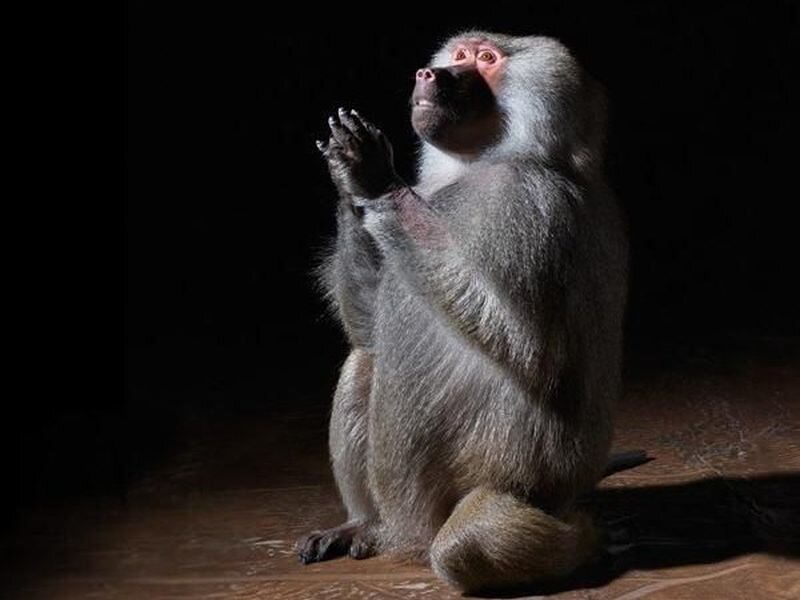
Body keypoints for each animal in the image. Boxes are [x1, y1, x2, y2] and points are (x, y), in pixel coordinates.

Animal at [299, 31, 629, 593]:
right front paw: (348, 183)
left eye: (486, 60)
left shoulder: (528, 204)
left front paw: (373, 177)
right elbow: (368, 328)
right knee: (364, 359)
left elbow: (524, 343)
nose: (428, 75)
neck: (484, 161)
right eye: (460, 54)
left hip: (521, 490)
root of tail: (405, 539)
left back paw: (583, 541)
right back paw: (362, 526)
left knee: (462, 544)